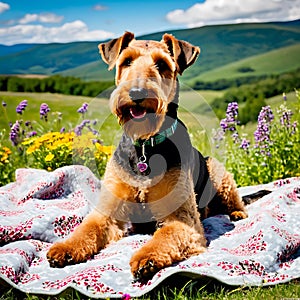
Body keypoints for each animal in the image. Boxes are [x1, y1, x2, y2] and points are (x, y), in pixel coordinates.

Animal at [47, 31, 247, 280]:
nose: (137, 93)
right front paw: (64, 249)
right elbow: (87, 228)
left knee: (237, 202)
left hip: (220, 173)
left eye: (161, 64)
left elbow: (166, 234)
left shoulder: (182, 217)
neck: (145, 146)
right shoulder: (108, 211)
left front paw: (147, 258)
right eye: (127, 61)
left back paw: (237, 214)